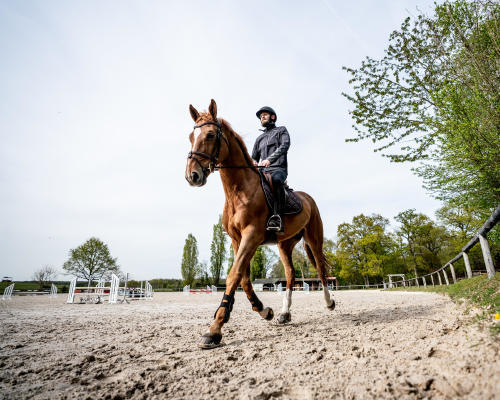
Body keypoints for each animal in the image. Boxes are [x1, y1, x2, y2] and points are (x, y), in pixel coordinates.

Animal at [186, 98, 334, 348]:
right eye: (190, 136)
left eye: (210, 135)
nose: (192, 175)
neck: (239, 191)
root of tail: (307, 198)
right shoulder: (237, 240)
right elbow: (244, 279)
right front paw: (265, 311)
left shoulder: (252, 236)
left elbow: (234, 275)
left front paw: (214, 330)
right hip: (285, 244)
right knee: (290, 275)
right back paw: (285, 313)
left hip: (314, 238)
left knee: (321, 270)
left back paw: (329, 302)